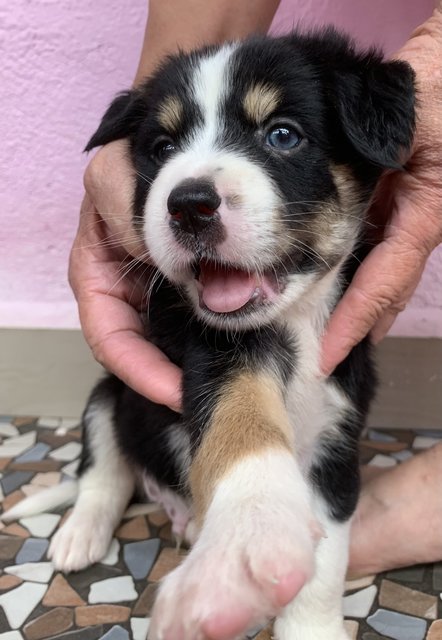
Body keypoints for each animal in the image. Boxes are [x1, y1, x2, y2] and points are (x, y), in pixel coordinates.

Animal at [3, 27, 416, 636]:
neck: (292, 324)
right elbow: (241, 418)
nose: (189, 205)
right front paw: (245, 545)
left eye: (283, 134)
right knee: (103, 470)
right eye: (162, 148)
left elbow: (325, 566)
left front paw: (309, 623)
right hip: (110, 393)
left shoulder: (338, 438)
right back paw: (80, 533)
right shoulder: (216, 356)